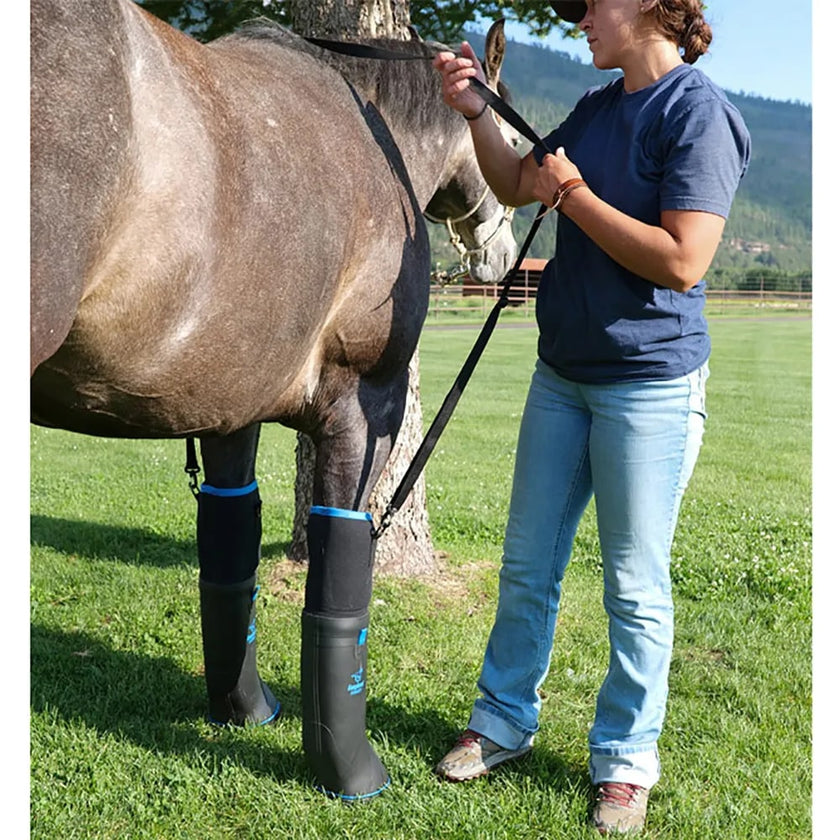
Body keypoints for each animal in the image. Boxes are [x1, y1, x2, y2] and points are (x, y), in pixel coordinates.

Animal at [30, 0, 517, 801]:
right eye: (506, 134)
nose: (501, 256)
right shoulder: (362, 410)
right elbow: (339, 597)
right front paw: (353, 774)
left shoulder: (230, 409)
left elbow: (231, 565)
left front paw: (245, 709)